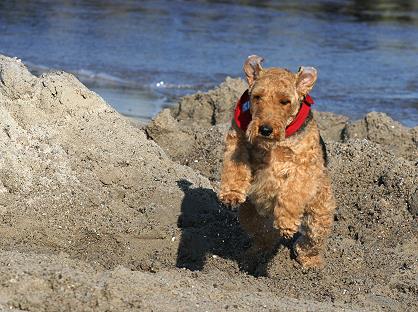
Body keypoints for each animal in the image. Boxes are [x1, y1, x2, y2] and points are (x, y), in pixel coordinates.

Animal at [220, 54, 334, 266]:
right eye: (257, 96)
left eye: (285, 101)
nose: (265, 129)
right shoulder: (237, 142)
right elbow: (235, 167)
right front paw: (231, 195)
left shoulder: (304, 165)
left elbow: (292, 193)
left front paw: (286, 223)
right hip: (250, 215)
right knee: (264, 236)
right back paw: (254, 255)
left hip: (319, 213)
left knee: (309, 241)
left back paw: (310, 262)